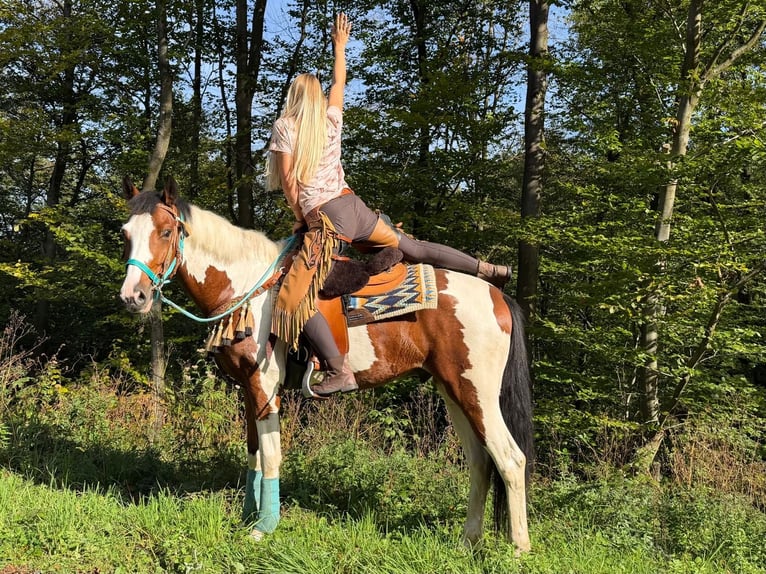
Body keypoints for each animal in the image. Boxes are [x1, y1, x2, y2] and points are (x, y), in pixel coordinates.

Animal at [118, 176, 534, 553]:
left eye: (166, 231)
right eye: (125, 235)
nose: (132, 297)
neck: (248, 288)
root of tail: (498, 296)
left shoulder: (265, 386)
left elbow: (271, 455)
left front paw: (263, 528)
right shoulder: (248, 389)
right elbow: (253, 454)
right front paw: (248, 517)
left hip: (477, 392)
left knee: (511, 460)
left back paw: (518, 549)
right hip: (453, 390)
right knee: (481, 462)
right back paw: (467, 542)